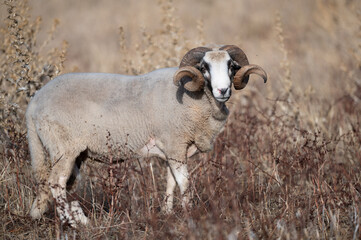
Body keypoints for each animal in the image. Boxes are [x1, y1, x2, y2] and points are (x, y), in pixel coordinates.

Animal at [26, 45, 268, 227]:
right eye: (204, 67)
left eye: (231, 66)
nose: (223, 91)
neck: (196, 100)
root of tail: (35, 102)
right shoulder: (175, 144)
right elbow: (184, 182)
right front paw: (189, 213)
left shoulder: (174, 150)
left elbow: (171, 182)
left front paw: (167, 213)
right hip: (64, 148)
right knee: (56, 183)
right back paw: (70, 222)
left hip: (72, 153)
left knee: (61, 184)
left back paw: (79, 218)